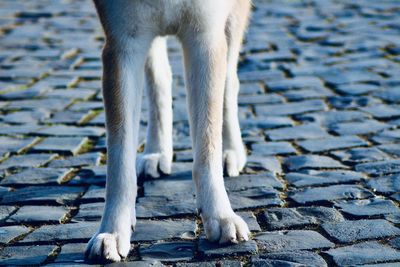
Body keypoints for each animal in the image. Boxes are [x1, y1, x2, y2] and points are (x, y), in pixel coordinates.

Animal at [86, 0, 252, 262]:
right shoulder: (124, 43)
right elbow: (119, 162)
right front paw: (112, 232)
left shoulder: (205, 36)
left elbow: (207, 146)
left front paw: (221, 216)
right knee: (160, 77)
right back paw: (156, 153)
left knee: (230, 80)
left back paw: (231, 152)